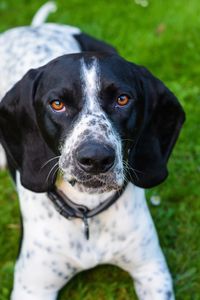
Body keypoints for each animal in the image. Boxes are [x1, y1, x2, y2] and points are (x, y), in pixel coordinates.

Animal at [0, 2, 184, 300]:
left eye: (123, 99)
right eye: (57, 104)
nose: (96, 158)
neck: (88, 213)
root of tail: (32, 28)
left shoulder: (152, 270)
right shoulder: (33, 287)